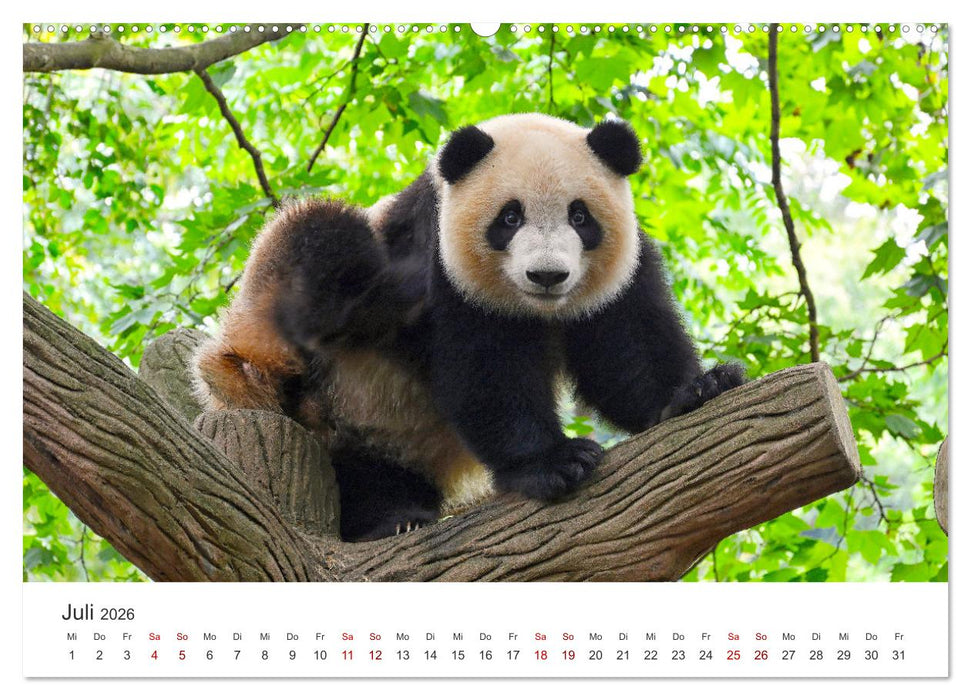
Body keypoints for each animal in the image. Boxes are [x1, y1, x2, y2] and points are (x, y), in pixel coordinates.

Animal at [192, 113, 745, 542]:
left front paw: (698, 389)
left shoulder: (617, 277)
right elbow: (486, 371)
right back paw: (387, 521)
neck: (538, 310)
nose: (547, 276)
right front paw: (555, 462)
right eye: (509, 217)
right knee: (318, 237)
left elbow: (626, 351)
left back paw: (397, 512)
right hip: (296, 362)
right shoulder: (444, 268)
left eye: (580, 216)